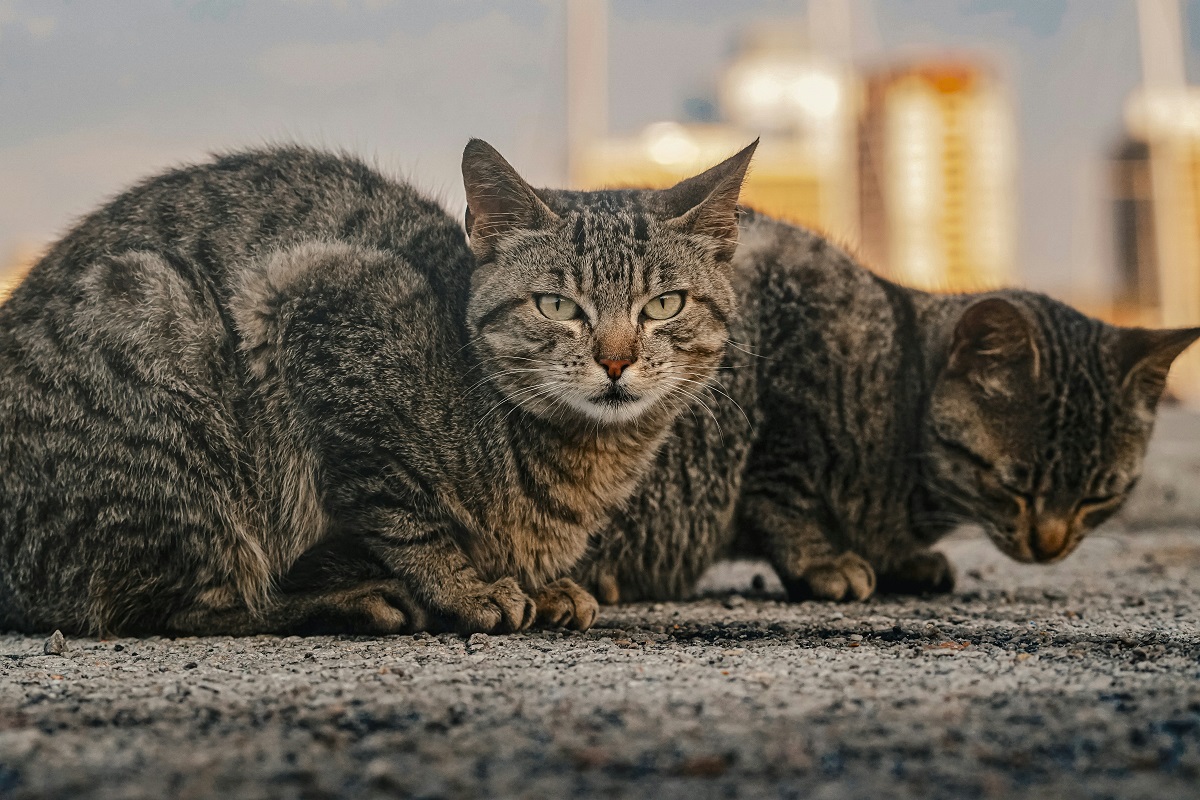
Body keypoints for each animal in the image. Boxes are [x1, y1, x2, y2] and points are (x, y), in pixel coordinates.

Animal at [0, 140, 753, 633]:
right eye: (558, 306)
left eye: (664, 305)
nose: (616, 361)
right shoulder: (313, 300)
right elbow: (403, 509)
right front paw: (464, 586)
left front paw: (542, 586)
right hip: (168, 349)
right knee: (189, 606)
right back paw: (350, 600)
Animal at [573, 209, 1200, 604]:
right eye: (1013, 484)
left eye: (1100, 496)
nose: (1050, 547)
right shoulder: (783, 414)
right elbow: (784, 500)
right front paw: (823, 560)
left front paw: (900, 559)